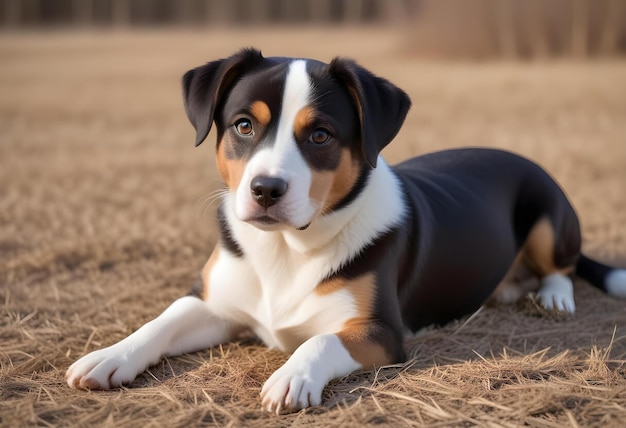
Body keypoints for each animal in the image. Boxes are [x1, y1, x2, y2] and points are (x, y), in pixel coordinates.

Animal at [64, 48, 624, 412]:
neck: (286, 249)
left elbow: (320, 342)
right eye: (244, 125)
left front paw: (292, 375)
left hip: (549, 210)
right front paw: (110, 356)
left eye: (320, 135)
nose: (266, 189)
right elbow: (161, 321)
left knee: (562, 265)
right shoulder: (214, 303)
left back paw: (552, 296)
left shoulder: (380, 332)